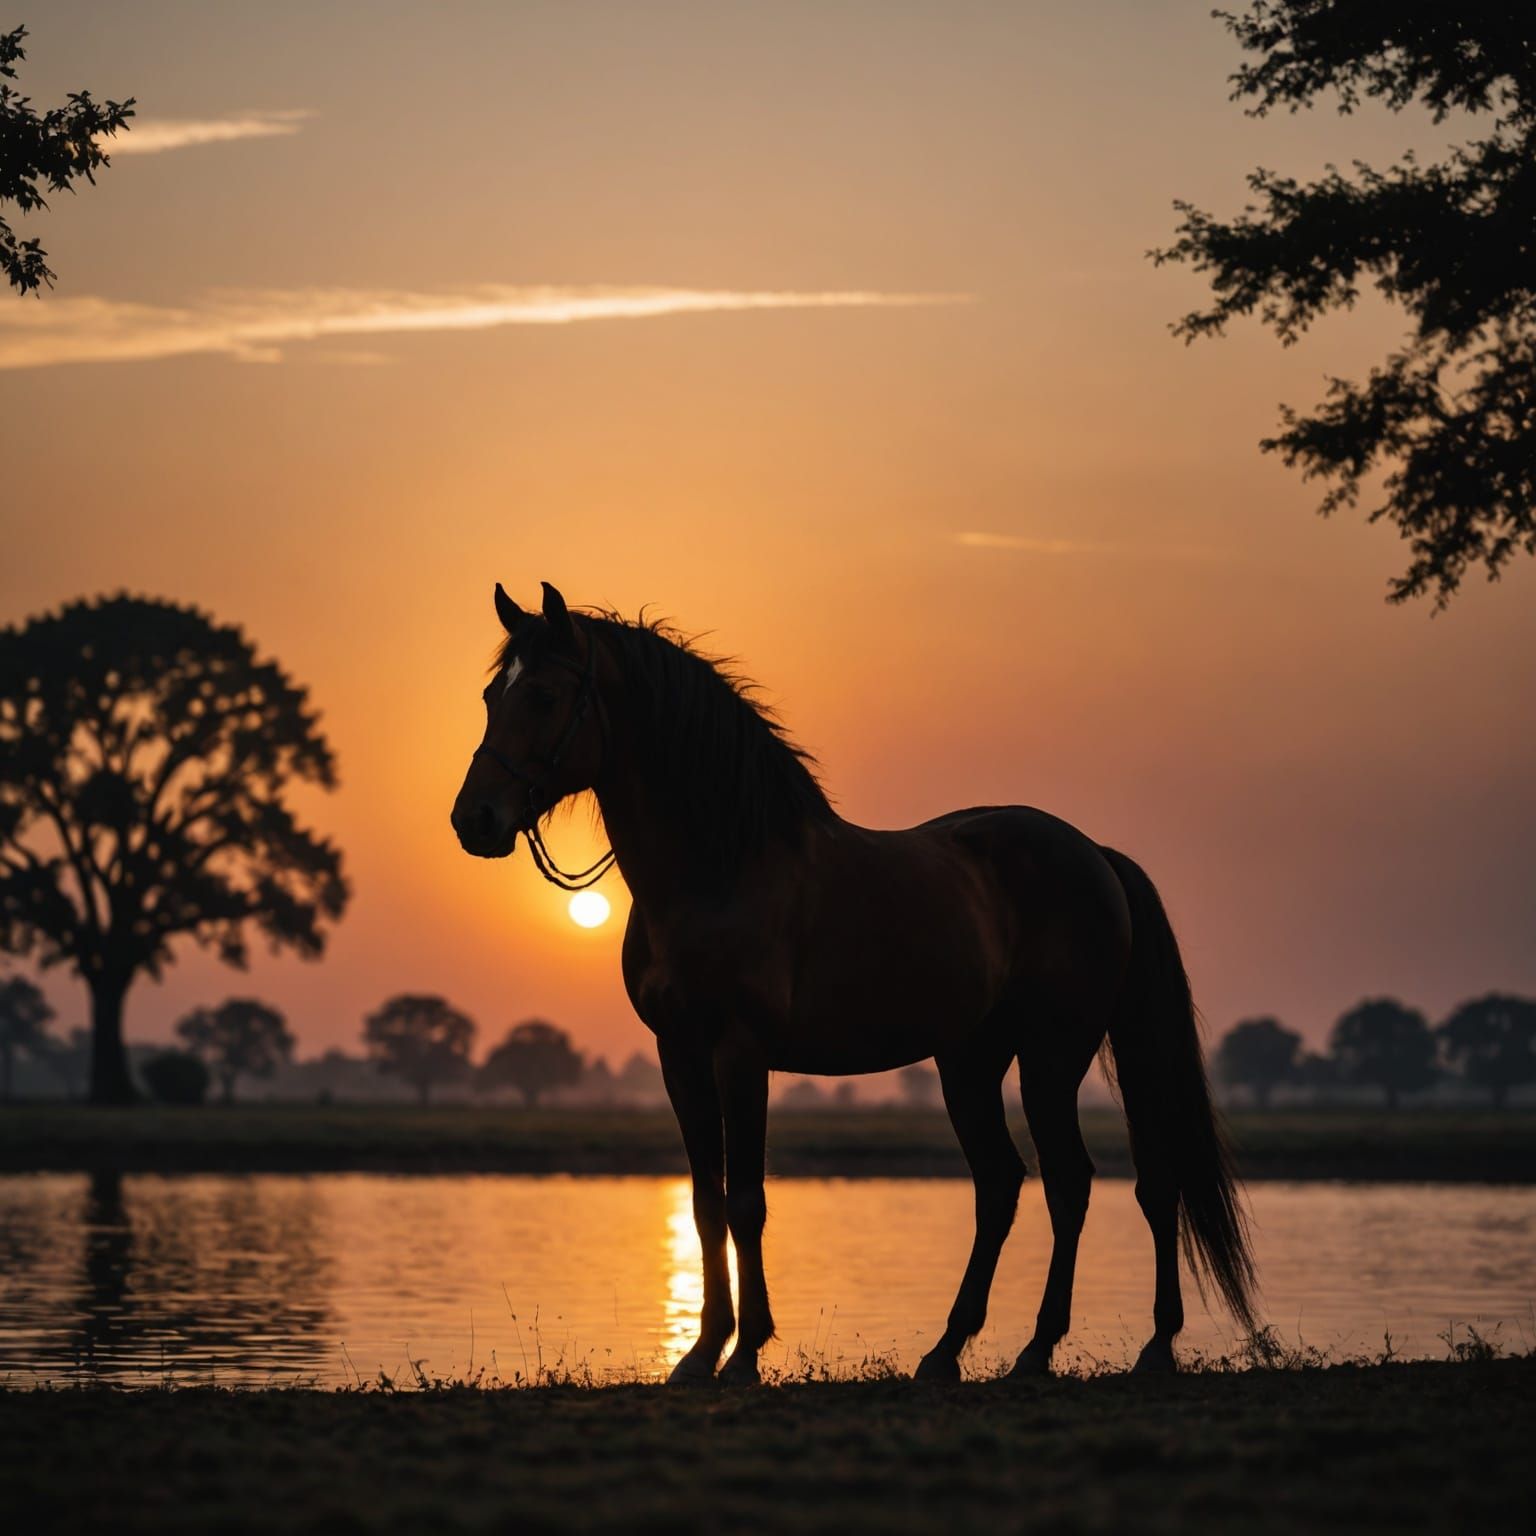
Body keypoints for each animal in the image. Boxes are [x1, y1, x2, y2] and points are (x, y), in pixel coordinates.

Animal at [451, 581, 1258, 1383]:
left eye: (545, 696)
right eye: (493, 694)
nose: (474, 820)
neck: (719, 868)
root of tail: (1094, 854)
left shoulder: (741, 1053)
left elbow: (746, 1201)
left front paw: (745, 1353)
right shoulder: (679, 1055)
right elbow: (705, 1202)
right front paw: (700, 1353)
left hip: (1054, 1056)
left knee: (1088, 1182)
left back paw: (1080, 1347)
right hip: (970, 1062)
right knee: (1006, 1184)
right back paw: (950, 1350)